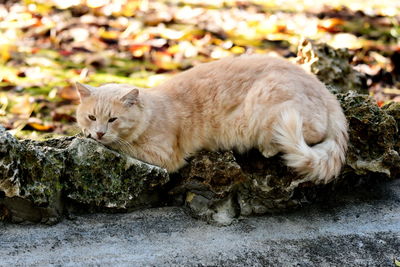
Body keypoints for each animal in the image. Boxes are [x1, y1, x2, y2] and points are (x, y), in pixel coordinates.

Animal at [75, 54, 346, 184]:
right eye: (91, 117)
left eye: (112, 119)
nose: (99, 132)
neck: (153, 110)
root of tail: (324, 89)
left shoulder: (163, 155)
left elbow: (123, 147)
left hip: (269, 104)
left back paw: (268, 147)